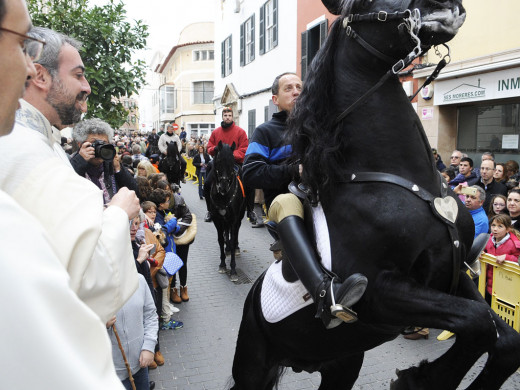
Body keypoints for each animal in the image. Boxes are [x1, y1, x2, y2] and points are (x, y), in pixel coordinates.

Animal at [209, 142, 246, 282]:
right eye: (219, 161)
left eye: (232, 161)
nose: (224, 187)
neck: (223, 197)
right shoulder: (217, 220)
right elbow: (220, 239)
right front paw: (223, 265)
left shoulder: (234, 220)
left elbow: (234, 235)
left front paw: (233, 270)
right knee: (226, 232)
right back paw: (228, 247)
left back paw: (234, 247)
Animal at [231, 0, 520, 390]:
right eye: (365, 3)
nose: (446, 6)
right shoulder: (382, 292)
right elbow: (476, 322)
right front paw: (421, 378)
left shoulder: (453, 272)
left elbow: (502, 337)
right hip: (252, 371)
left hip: (341, 366)